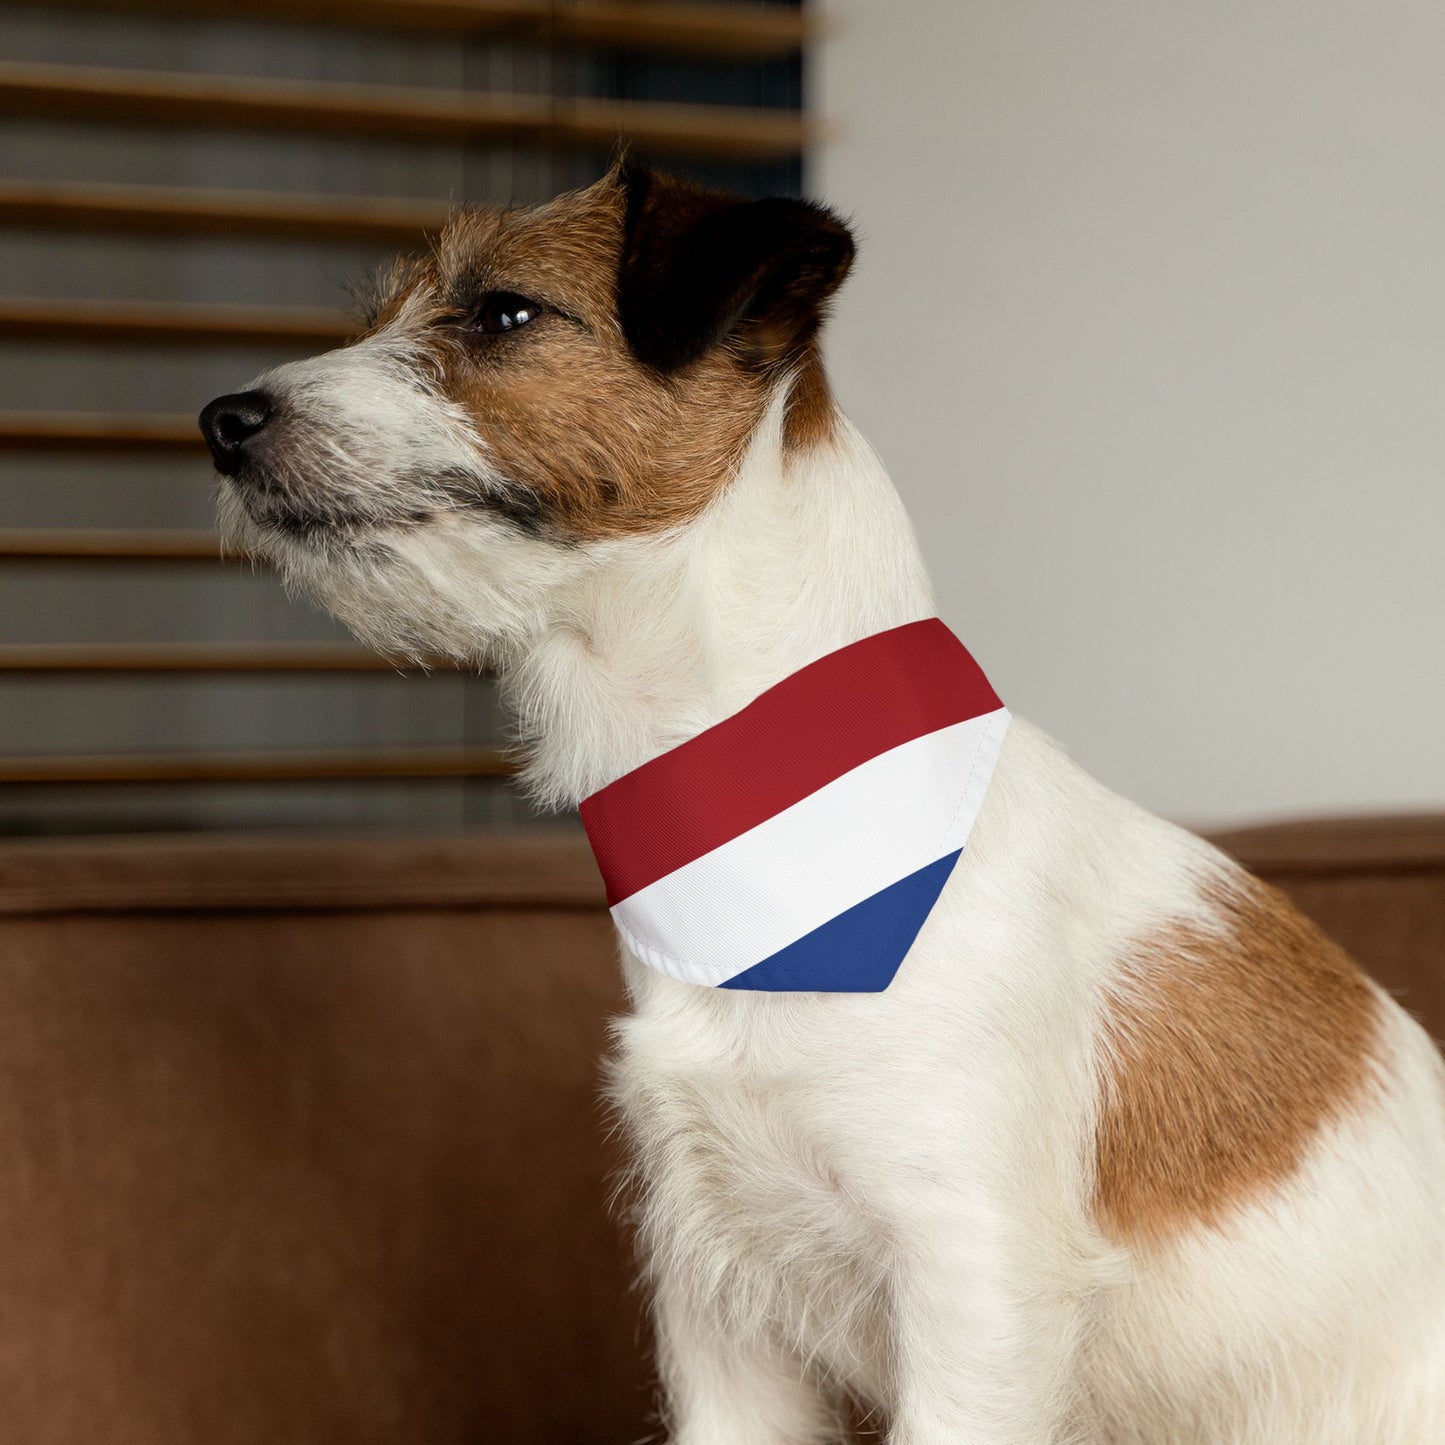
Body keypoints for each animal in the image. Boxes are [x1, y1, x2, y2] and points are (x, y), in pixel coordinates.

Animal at [200, 164, 1445, 1439]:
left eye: (503, 311)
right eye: (381, 314)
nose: (222, 421)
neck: (762, 836)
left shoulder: (972, 1291)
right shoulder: (716, 1303)